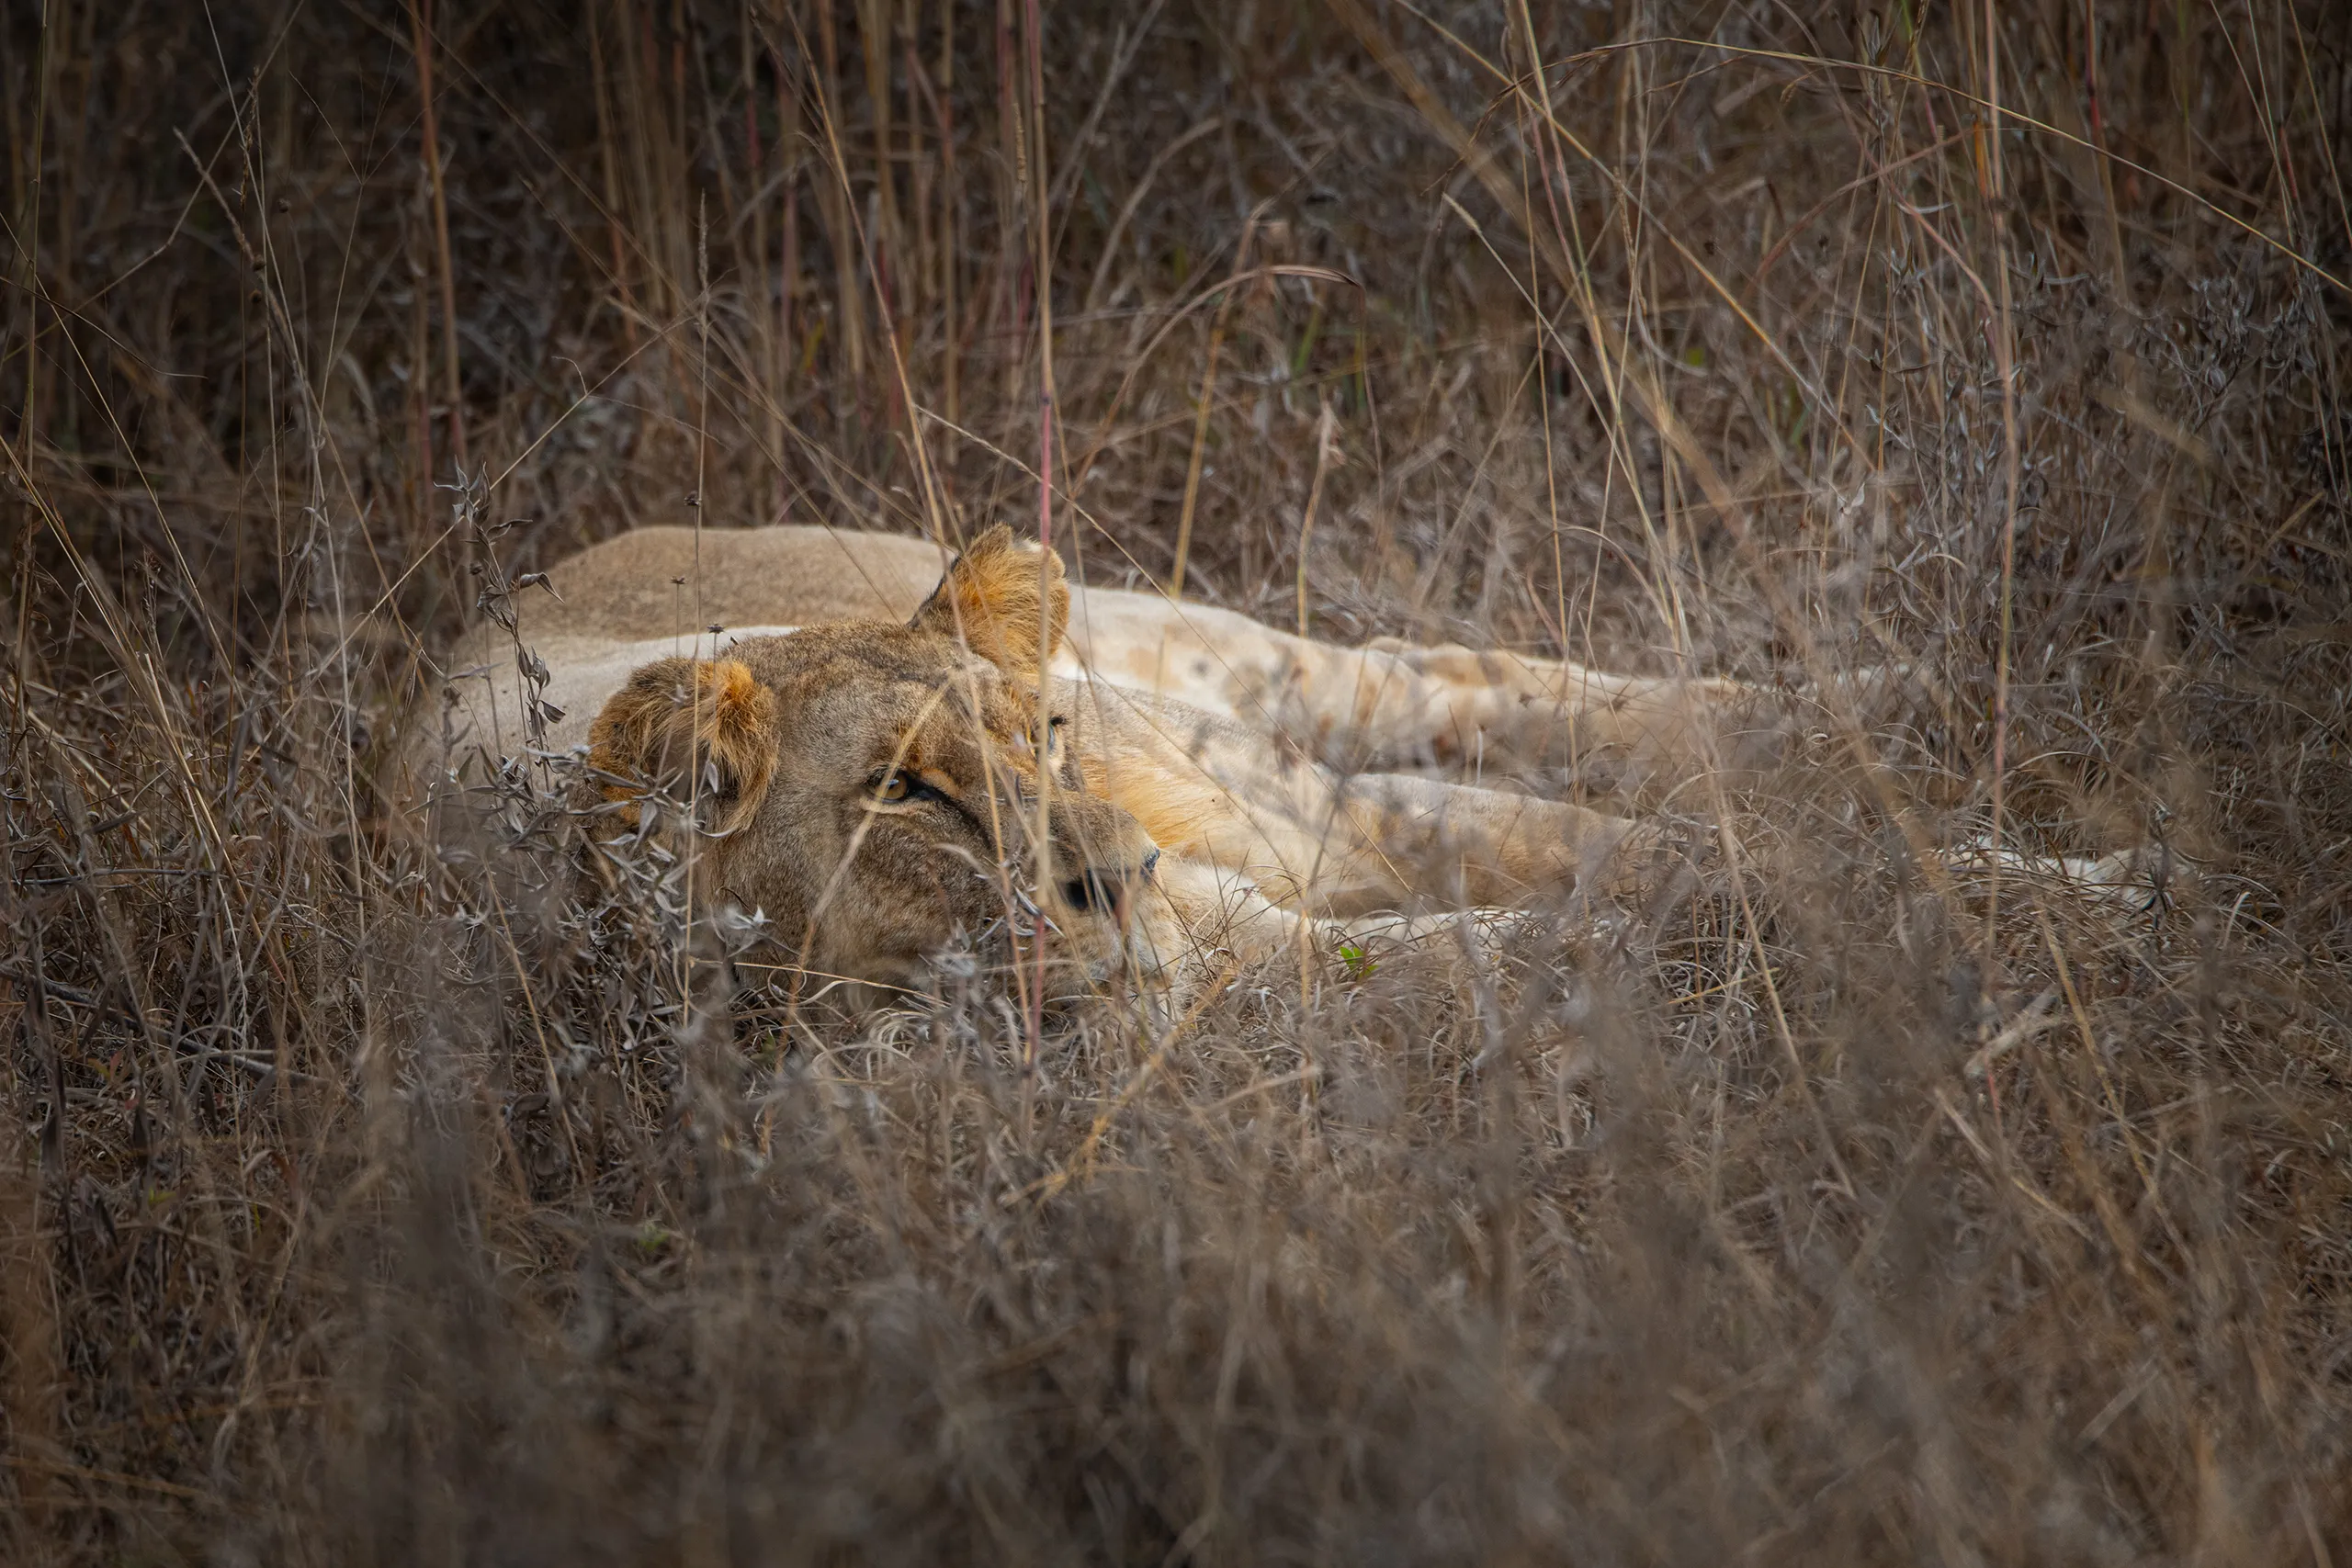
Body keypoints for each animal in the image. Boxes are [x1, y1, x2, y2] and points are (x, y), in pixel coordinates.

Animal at [403, 523, 2168, 1006]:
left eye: (1037, 737)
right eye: (908, 793)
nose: (1116, 874)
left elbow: (1654, 861)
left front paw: (2076, 902)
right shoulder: (1242, 960)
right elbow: (1554, 932)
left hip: (1232, 694)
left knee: (1495, 696)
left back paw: (1944, 696)